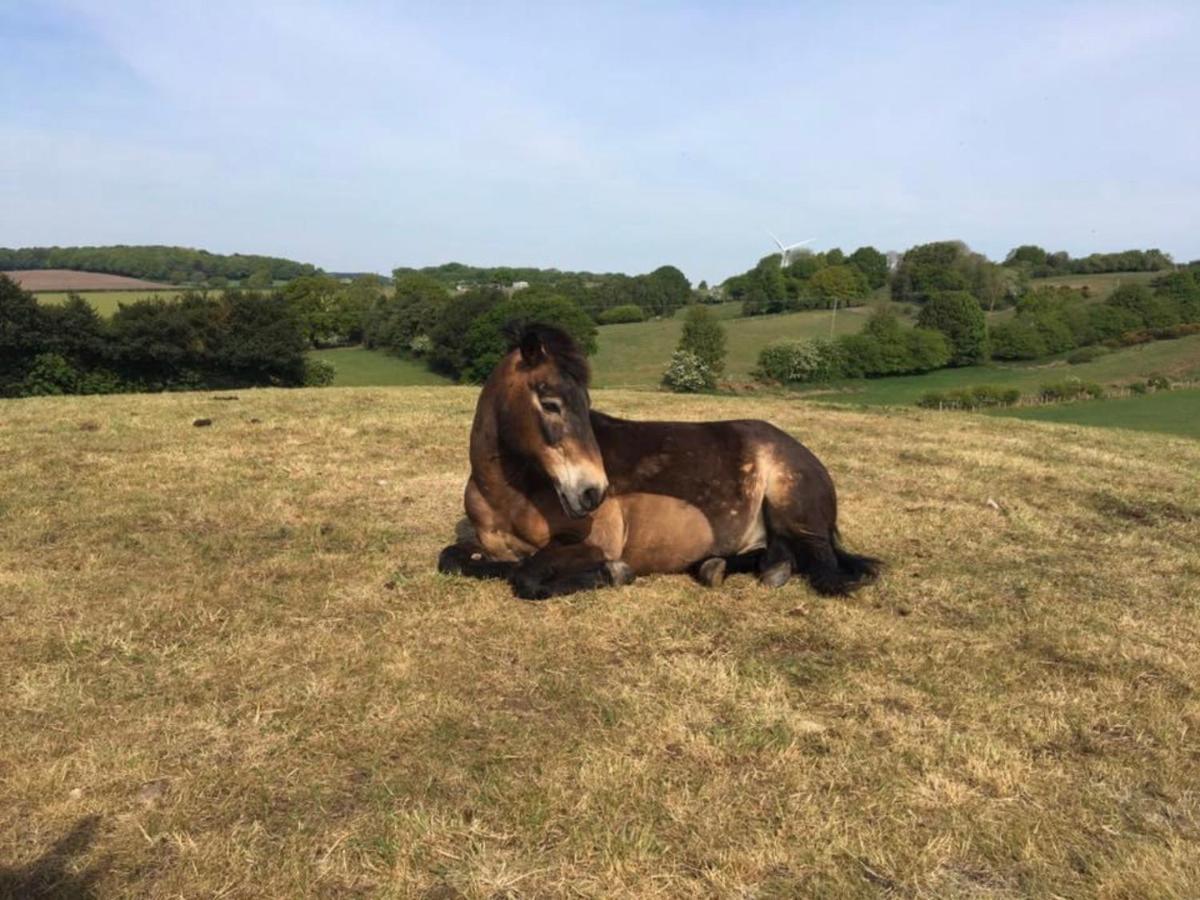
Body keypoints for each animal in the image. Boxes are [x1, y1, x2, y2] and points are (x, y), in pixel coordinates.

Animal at [441, 324, 883, 600]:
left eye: (586, 403)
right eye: (550, 403)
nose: (592, 492)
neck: (510, 492)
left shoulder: (594, 543)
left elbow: (527, 575)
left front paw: (612, 573)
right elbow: (454, 560)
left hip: (794, 509)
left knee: (822, 564)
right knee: (776, 550)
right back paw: (719, 566)